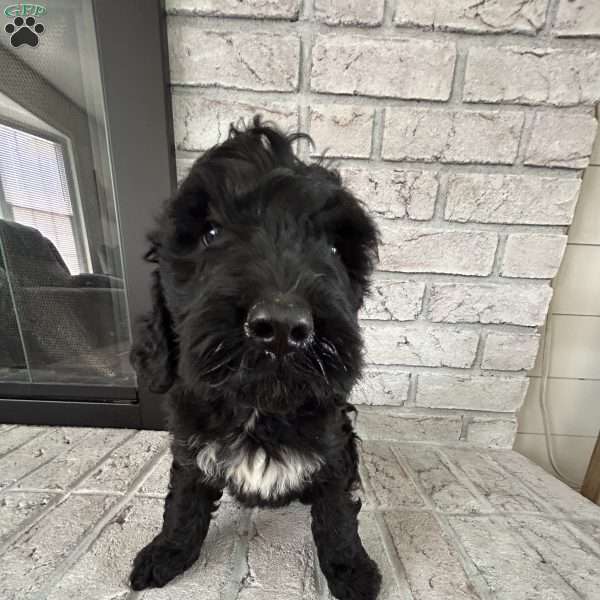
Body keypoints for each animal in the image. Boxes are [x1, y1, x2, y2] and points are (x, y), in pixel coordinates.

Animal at [131, 118, 382, 600]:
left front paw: (351, 570)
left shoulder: (334, 449)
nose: (283, 327)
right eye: (210, 234)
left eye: (335, 250)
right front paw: (166, 553)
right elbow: (183, 501)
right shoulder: (189, 445)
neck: (259, 407)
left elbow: (337, 514)